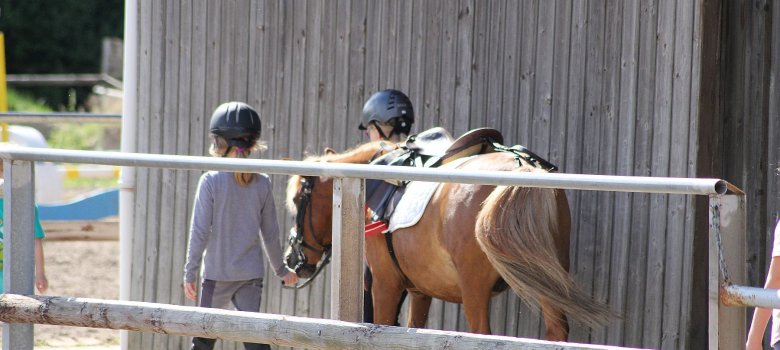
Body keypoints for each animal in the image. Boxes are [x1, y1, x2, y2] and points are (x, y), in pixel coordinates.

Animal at [284, 141, 612, 340]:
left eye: (299, 199)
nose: (292, 259)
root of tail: (523, 168)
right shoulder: (419, 292)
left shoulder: (385, 284)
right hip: (549, 279)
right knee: (556, 330)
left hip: (474, 289)